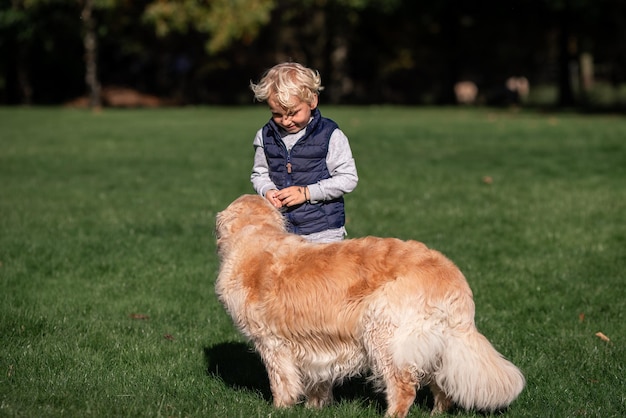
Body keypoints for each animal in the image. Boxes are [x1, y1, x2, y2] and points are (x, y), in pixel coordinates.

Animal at [214, 194, 520, 416]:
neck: (254, 235)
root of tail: (451, 275)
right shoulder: (313, 347)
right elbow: (316, 383)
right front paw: (315, 407)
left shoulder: (272, 343)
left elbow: (281, 383)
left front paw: (280, 409)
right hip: (433, 344)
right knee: (441, 384)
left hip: (384, 334)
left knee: (404, 388)